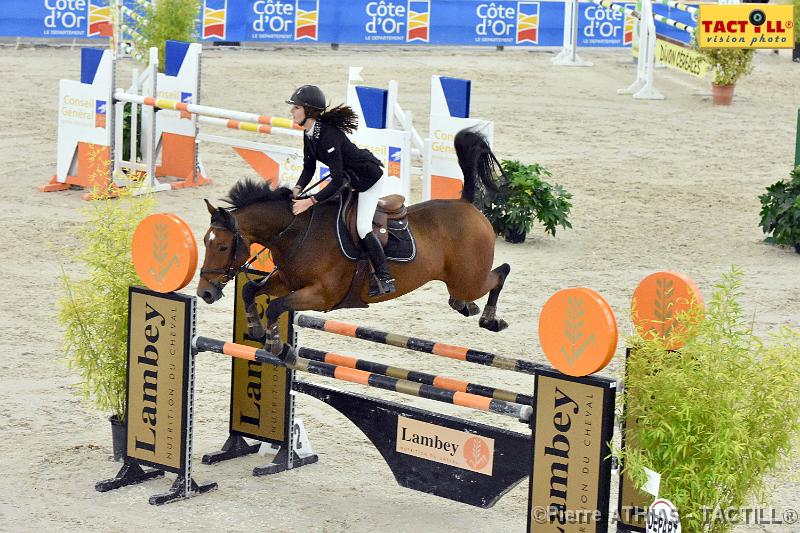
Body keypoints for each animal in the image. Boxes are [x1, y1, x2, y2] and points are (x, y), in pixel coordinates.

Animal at [196, 128, 510, 360]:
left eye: (222, 247)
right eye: (205, 242)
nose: (204, 293)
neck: (298, 233)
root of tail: (466, 204)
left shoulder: (321, 295)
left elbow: (275, 307)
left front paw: (277, 347)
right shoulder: (287, 280)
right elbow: (249, 290)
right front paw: (256, 331)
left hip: (469, 279)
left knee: (500, 273)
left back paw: (490, 319)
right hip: (460, 280)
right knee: (473, 289)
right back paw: (466, 306)